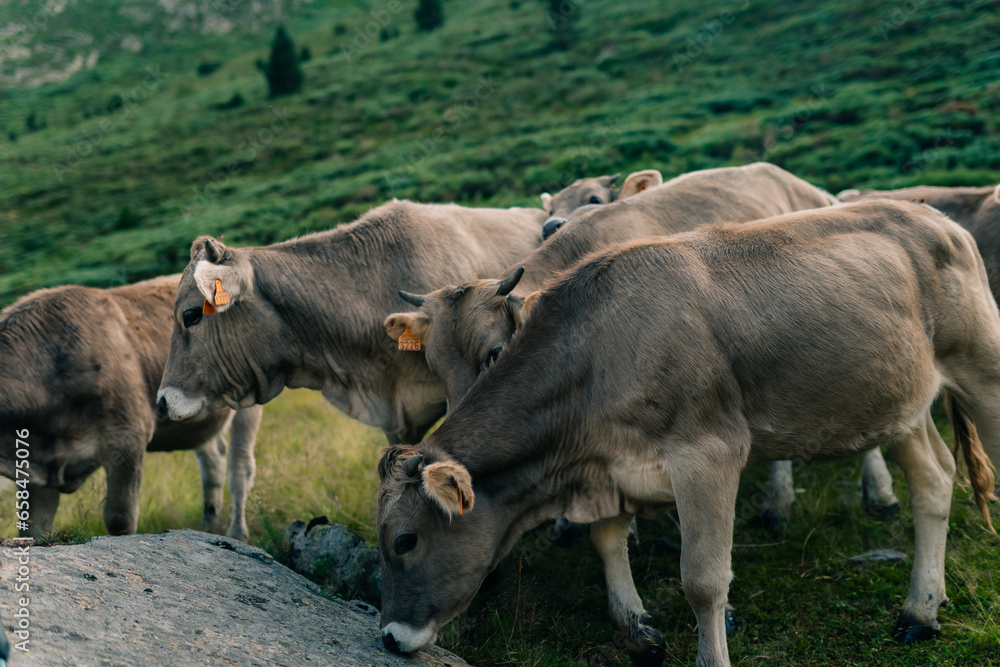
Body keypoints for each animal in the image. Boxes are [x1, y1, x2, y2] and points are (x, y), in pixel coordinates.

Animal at [0, 275, 262, 540]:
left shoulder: (127, 439)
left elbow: (120, 519)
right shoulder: (39, 466)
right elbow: (33, 529)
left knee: (240, 467)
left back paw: (237, 534)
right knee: (213, 458)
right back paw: (210, 525)